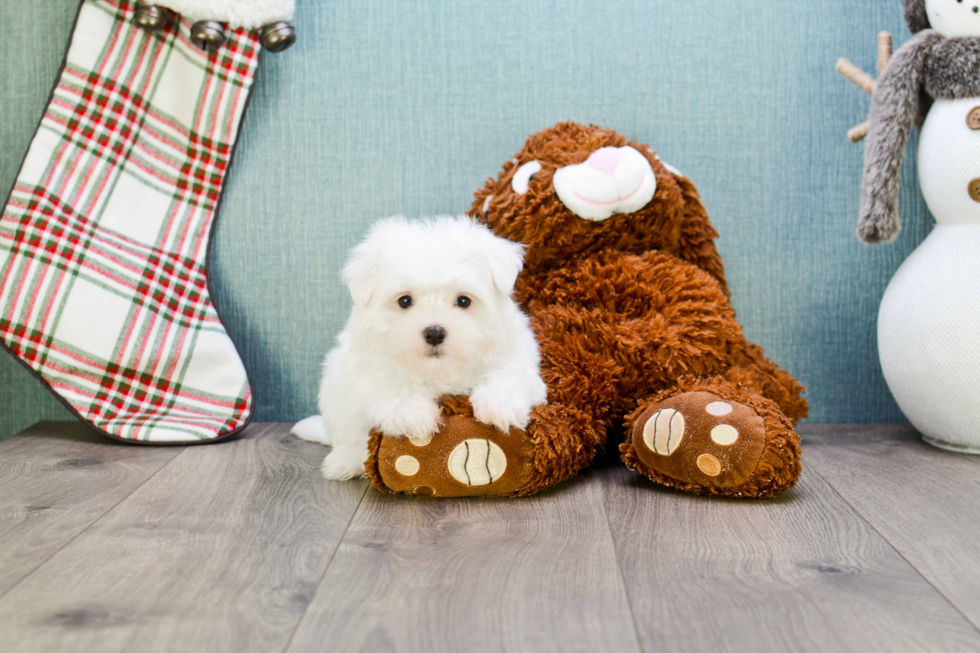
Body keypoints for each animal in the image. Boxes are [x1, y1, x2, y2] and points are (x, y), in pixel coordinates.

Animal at [290, 214, 552, 478]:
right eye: (405, 301)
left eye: (463, 301)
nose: (434, 333)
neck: (438, 370)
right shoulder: (364, 372)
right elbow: (389, 387)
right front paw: (415, 415)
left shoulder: (517, 358)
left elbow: (510, 375)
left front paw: (499, 405)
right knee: (348, 438)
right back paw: (344, 463)